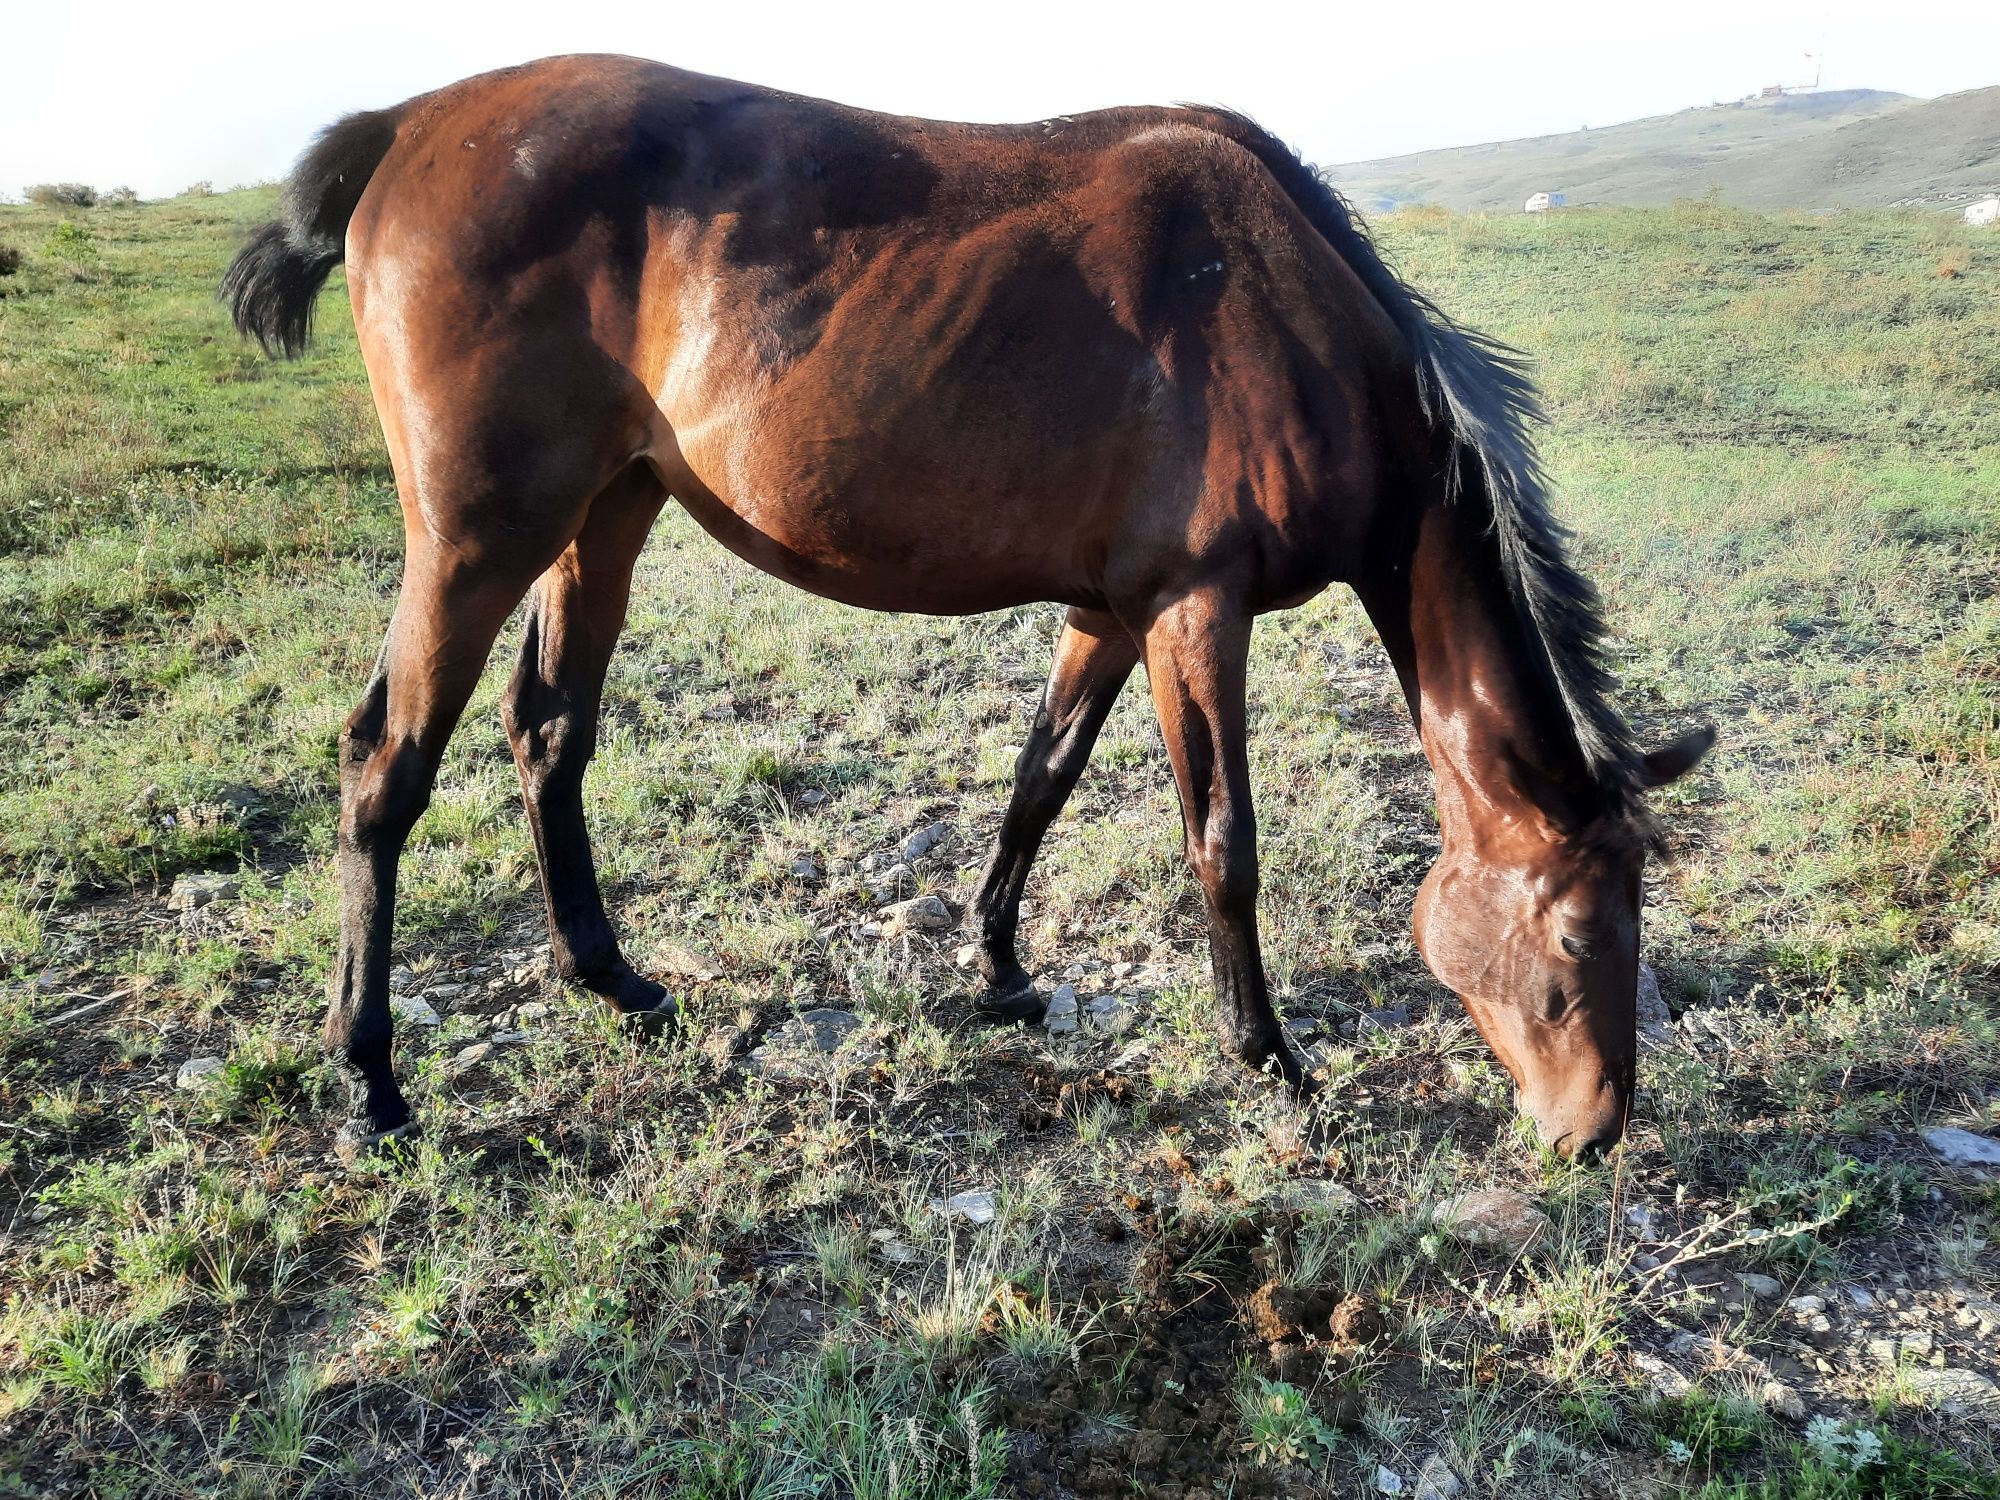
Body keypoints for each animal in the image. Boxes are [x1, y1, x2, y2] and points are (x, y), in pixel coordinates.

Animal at [227, 53, 1712, 1160]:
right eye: (1580, 933)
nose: (1592, 1132)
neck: (1294, 323)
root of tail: (412, 123)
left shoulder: (1113, 611)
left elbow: (1038, 780)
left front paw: (995, 968)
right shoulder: (1197, 609)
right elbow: (1223, 841)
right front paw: (1266, 1053)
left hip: (607, 512)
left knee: (549, 731)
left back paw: (614, 980)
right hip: (476, 542)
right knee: (384, 767)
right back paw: (368, 1081)